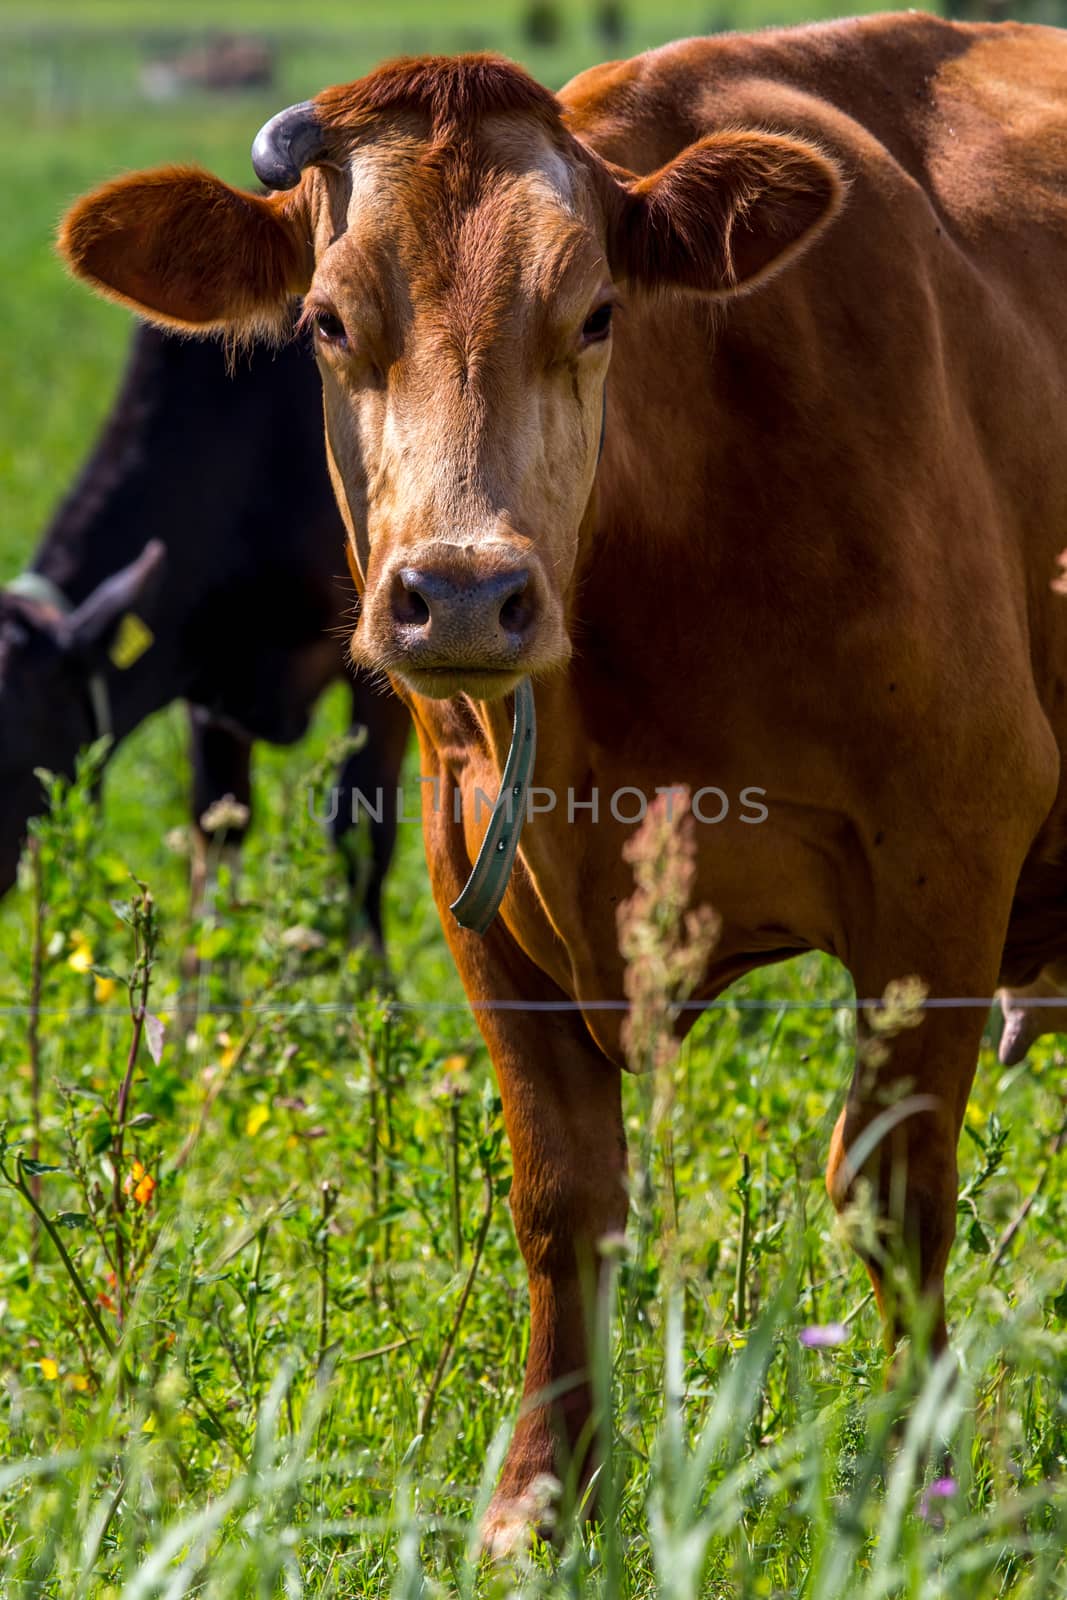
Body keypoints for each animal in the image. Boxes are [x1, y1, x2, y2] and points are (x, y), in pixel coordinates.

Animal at [60, 15, 1067, 1548]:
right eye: (327, 323)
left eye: (594, 314)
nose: (465, 597)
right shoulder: (468, 876)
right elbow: (561, 1195)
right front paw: (541, 1501)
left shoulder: (944, 858)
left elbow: (890, 1191)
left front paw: (919, 1488)